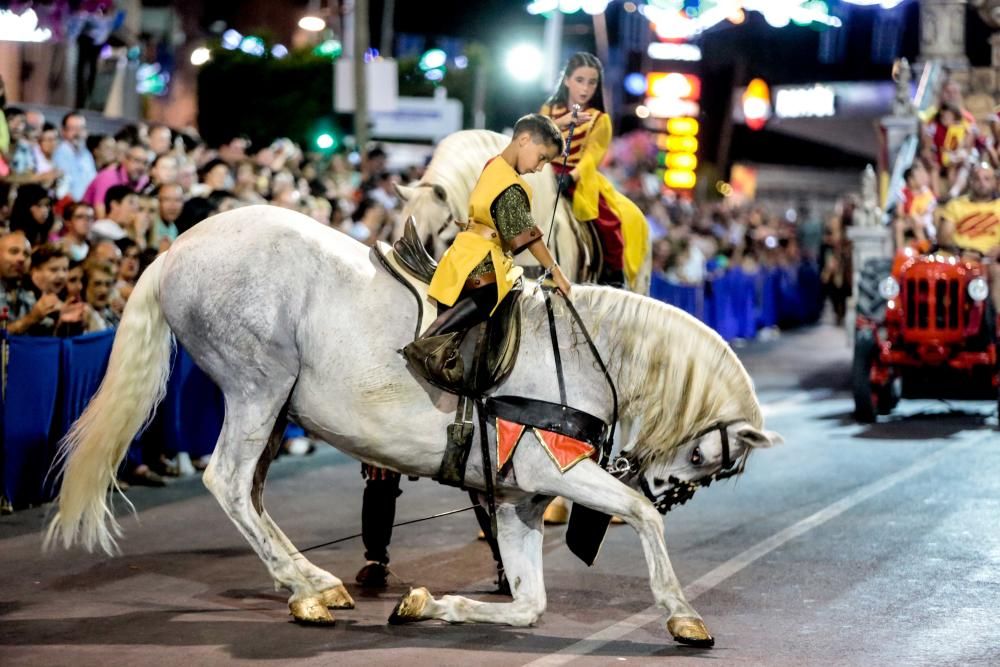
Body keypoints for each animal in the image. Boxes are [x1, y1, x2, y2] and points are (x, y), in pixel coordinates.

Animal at [45, 207, 780, 648]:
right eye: (707, 463)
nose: (663, 485)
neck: (581, 349)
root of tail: (178, 248)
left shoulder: (519, 497)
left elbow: (530, 601)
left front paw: (430, 604)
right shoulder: (554, 467)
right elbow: (636, 518)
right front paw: (681, 611)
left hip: (275, 405)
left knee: (250, 492)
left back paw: (310, 583)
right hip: (257, 386)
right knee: (226, 481)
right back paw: (307, 587)